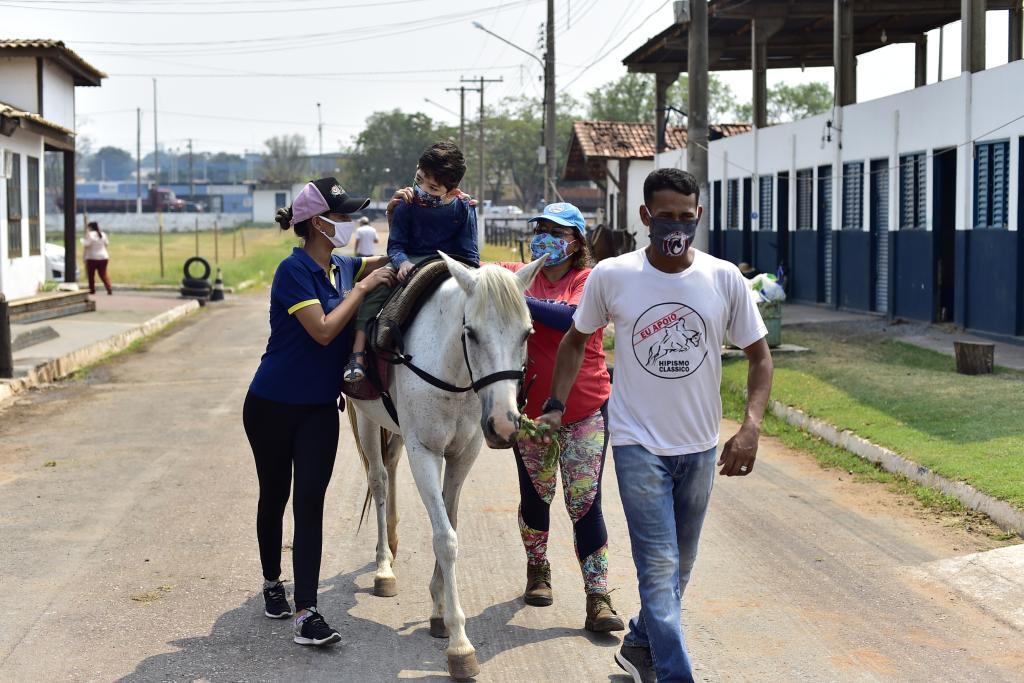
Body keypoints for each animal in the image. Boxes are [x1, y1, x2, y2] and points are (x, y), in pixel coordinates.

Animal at [350, 253, 548, 679]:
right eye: (470, 333)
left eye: (527, 333)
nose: (505, 424)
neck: (452, 373)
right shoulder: (424, 452)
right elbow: (445, 538)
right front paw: (459, 642)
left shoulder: (462, 453)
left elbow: (450, 521)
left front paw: (439, 610)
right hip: (368, 419)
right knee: (378, 480)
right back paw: (384, 566)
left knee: (390, 469)